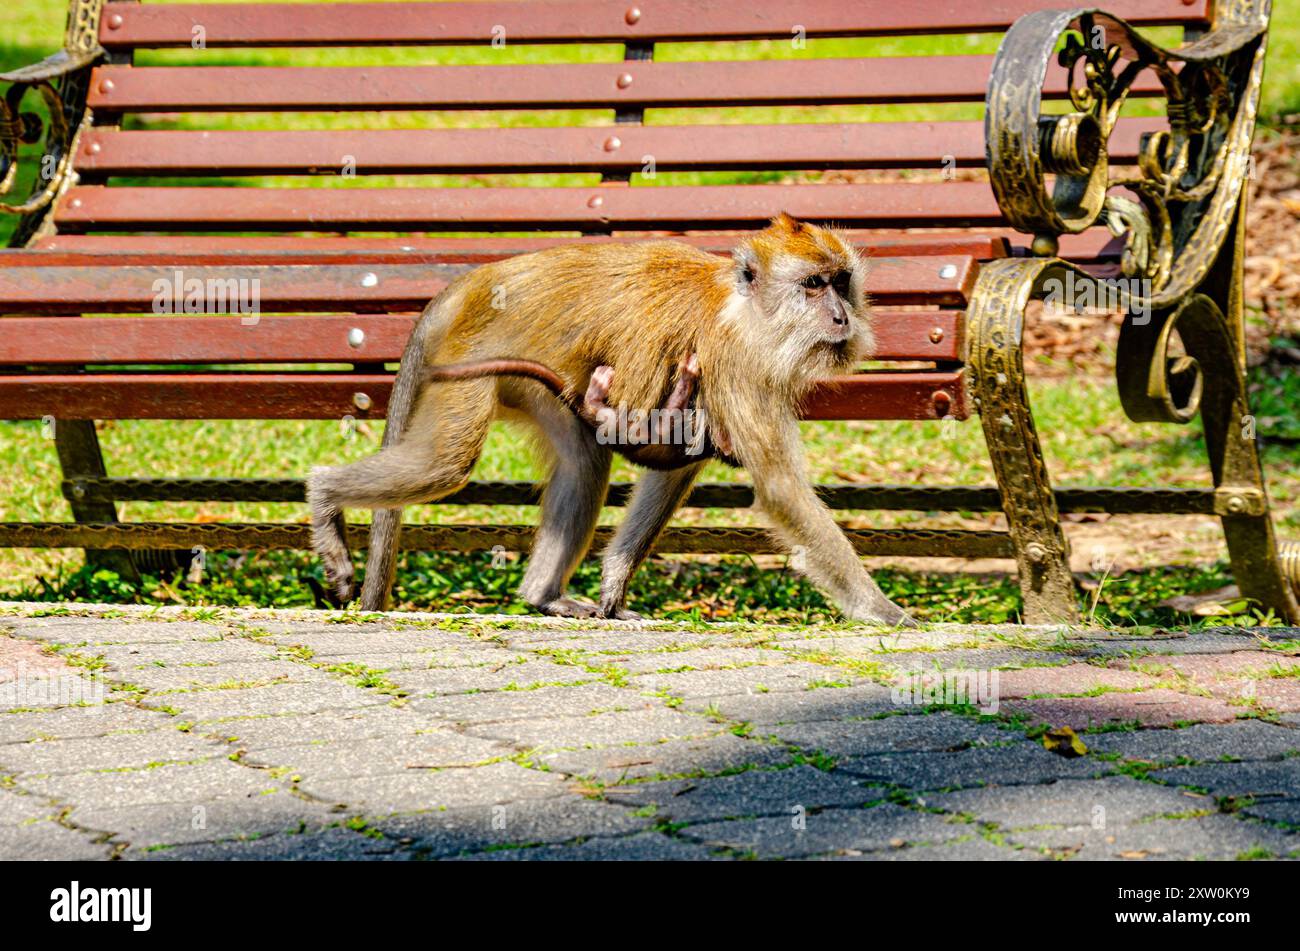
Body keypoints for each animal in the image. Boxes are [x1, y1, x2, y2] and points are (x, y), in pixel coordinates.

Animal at [306, 216, 915, 631]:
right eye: (813, 285)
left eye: (841, 281)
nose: (841, 317)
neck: (744, 307)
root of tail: (475, 282)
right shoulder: (736, 362)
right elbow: (782, 488)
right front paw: (881, 609)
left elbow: (672, 473)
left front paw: (614, 589)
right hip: (468, 364)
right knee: (446, 463)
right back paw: (325, 494)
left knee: (583, 463)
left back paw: (543, 596)